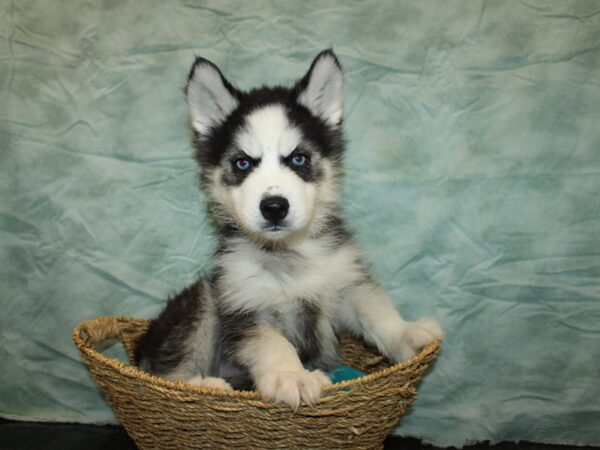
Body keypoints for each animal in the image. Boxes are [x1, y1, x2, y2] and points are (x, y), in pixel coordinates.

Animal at [137, 49, 446, 408]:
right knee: (166, 373)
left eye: (298, 158)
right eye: (242, 162)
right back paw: (208, 385)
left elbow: (376, 312)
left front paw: (406, 333)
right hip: (202, 302)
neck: (290, 252)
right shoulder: (243, 304)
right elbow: (273, 343)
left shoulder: (348, 283)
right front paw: (291, 376)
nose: (274, 207)